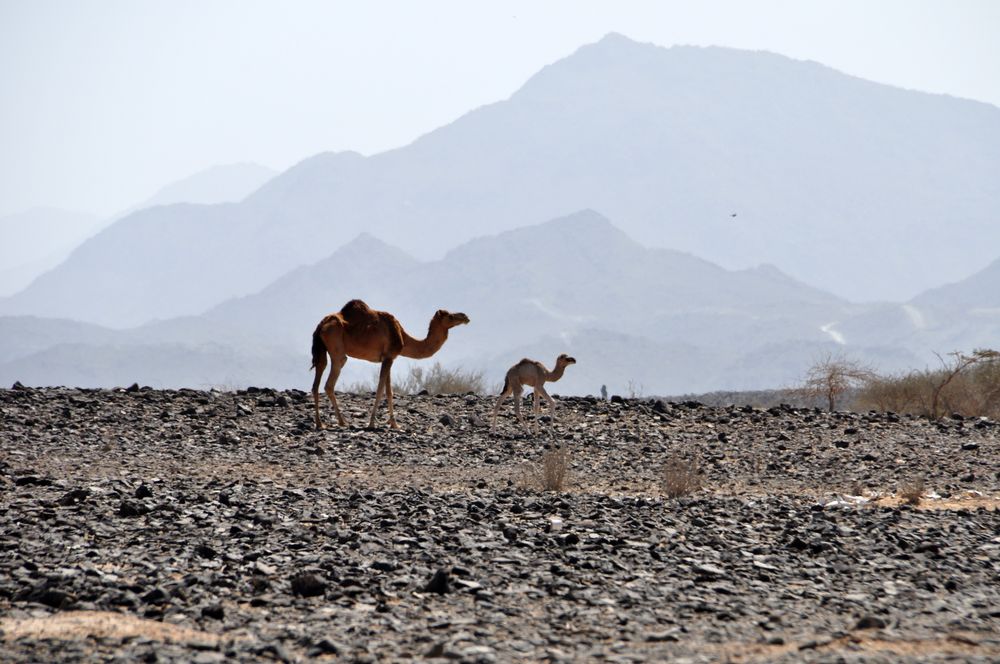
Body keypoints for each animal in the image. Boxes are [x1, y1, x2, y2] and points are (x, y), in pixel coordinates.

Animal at [310, 300, 470, 430]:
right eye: (450, 316)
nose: (465, 317)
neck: (402, 337)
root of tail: (320, 326)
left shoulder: (388, 358)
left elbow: (389, 391)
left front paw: (394, 424)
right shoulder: (389, 357)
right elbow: (380, 389)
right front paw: (372, 423)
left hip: (322, 350)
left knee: (317, 379)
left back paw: (320, 423)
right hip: (336, 348)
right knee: (330, 382)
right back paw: (342, 422)